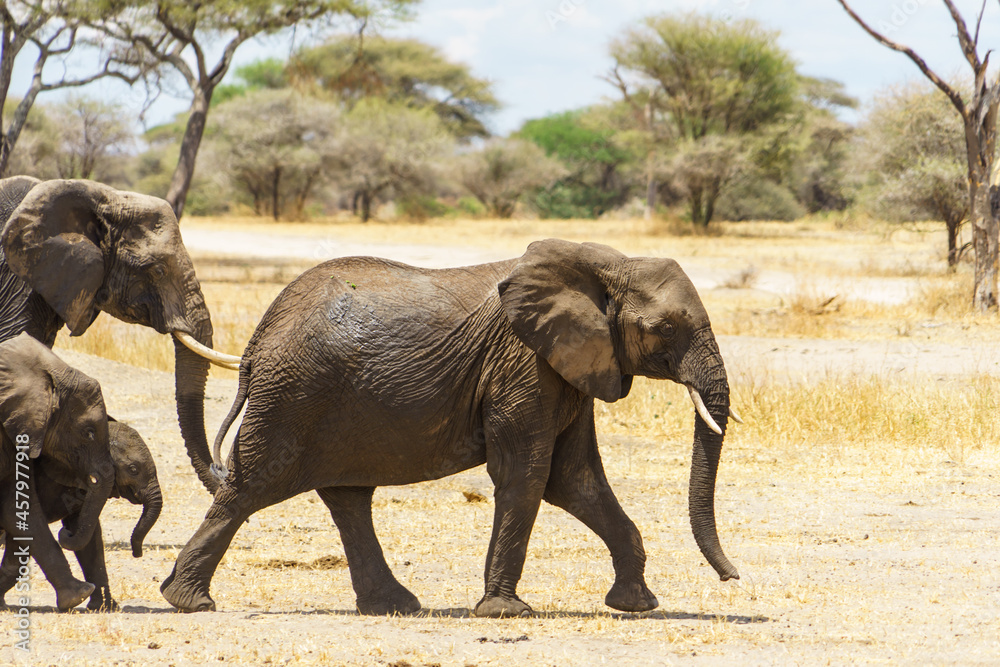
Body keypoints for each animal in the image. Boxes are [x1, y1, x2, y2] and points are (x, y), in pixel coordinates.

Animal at [161, 239, 741, 617]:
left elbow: (574, 480)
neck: (605, 263)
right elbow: (528, 474)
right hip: (292, 395)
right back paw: (188, 601)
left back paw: (394, 607)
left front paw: (637, 605)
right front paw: (506, 612)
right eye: (665, 329)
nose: (731, 576)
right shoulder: (524, 363)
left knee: (347, 497)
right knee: (250, 486)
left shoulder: (568, 367)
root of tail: (260, 336)